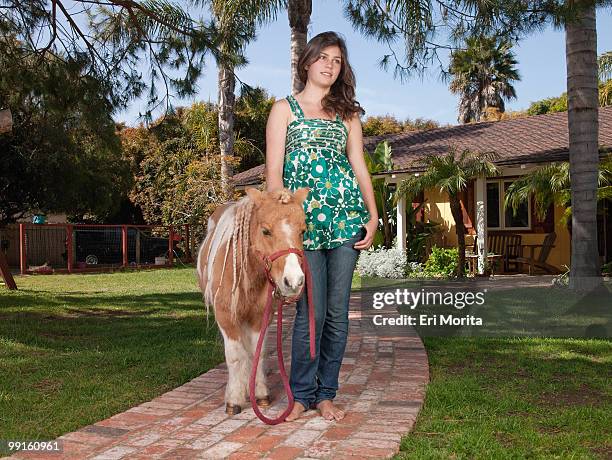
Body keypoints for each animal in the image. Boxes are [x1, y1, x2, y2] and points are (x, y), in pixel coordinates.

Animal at [197, 186, 310, 414]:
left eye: (303, 231)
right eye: (266, 231)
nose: (294, 281)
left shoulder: (260, 317)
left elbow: (258, 353)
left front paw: (259, 394)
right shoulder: (226, 318)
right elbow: (235, 356)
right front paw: (234, 399)